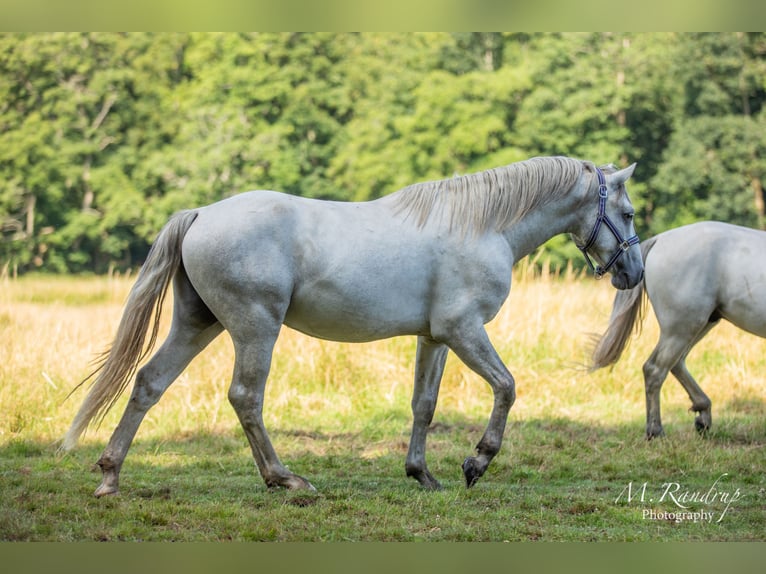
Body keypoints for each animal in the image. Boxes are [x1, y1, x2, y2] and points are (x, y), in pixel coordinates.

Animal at [66, 155, 644, 498]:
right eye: (630, 212)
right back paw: (284, 479)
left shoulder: (435, 338)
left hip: (197, 323)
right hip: (254, 328)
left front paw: (422, 474)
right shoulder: (464, 331)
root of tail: (203, 213)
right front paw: (476, 463)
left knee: (149, 383)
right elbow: (506, 386)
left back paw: (110, 475)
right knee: (245, 397)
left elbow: (424, 405)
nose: (634, 273)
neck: (484, 226)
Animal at [592, 223, 766, 438]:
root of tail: (660, 239)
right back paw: (656, 431)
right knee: (655, 369)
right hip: (680, 329)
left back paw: (702, 414)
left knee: (676, 363)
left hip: (697, 325)